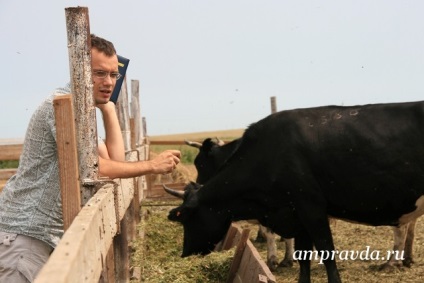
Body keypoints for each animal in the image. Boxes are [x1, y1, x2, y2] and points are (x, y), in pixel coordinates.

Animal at [165, 102, 424, 283]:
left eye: (185, 218)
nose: (185, 254)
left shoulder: (311, 209)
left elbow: (326, 253)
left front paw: (276, 260)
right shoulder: (296, 217)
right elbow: (303, 256)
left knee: (401, 230)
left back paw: (392, 262)